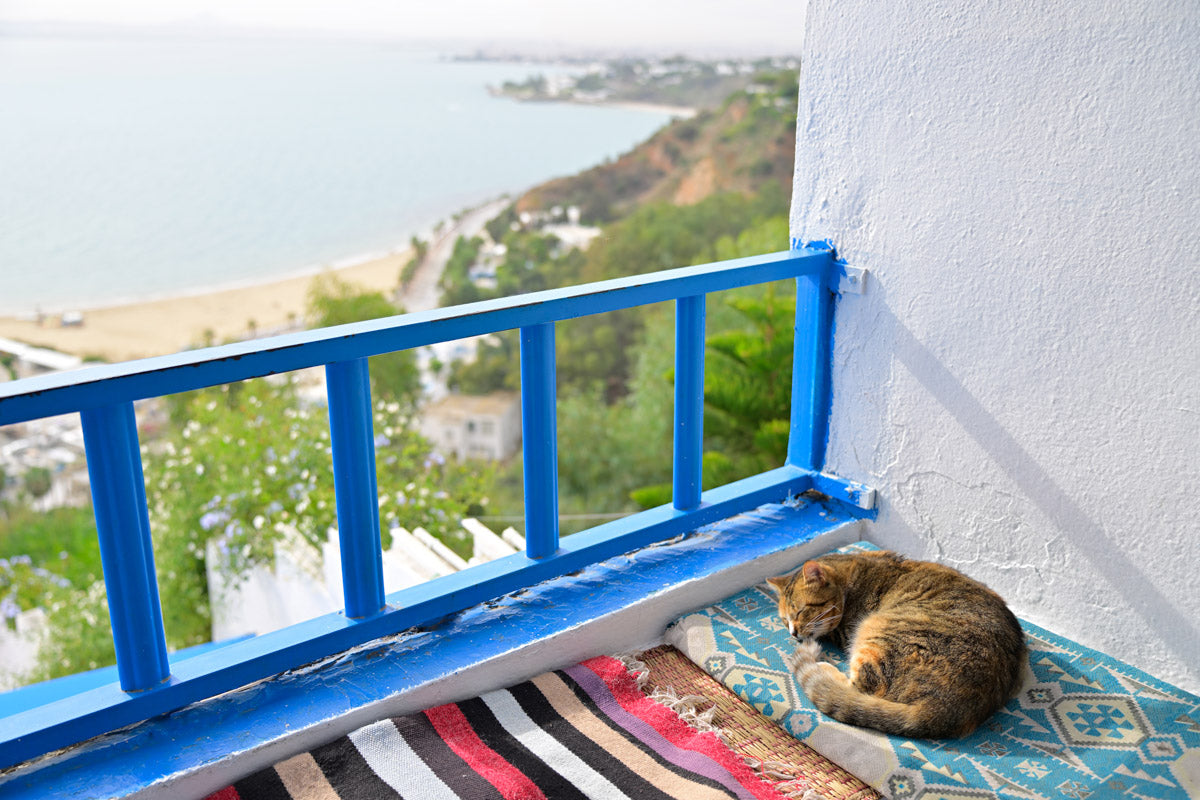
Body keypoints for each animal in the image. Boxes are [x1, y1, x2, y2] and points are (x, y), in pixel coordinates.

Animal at [768, 551, 1022, 738]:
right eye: (784, 620)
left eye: (800, 611)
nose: (793, 633)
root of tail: (943, 711)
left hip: (875, 634)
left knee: (857, 687)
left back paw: (824, 667)